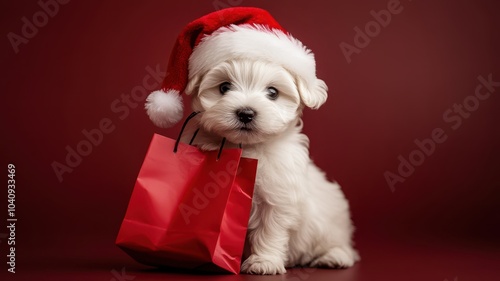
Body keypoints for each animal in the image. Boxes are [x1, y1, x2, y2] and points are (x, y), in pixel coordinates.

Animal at [180, 59, 360, 274]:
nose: (246, 113)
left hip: (329, 219)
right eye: (224, 87)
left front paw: (263, 262)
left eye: (273, 92)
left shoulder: (278, 198)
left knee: (338, 243)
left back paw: (334, 257)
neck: (246, 147)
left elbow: (270, 229)